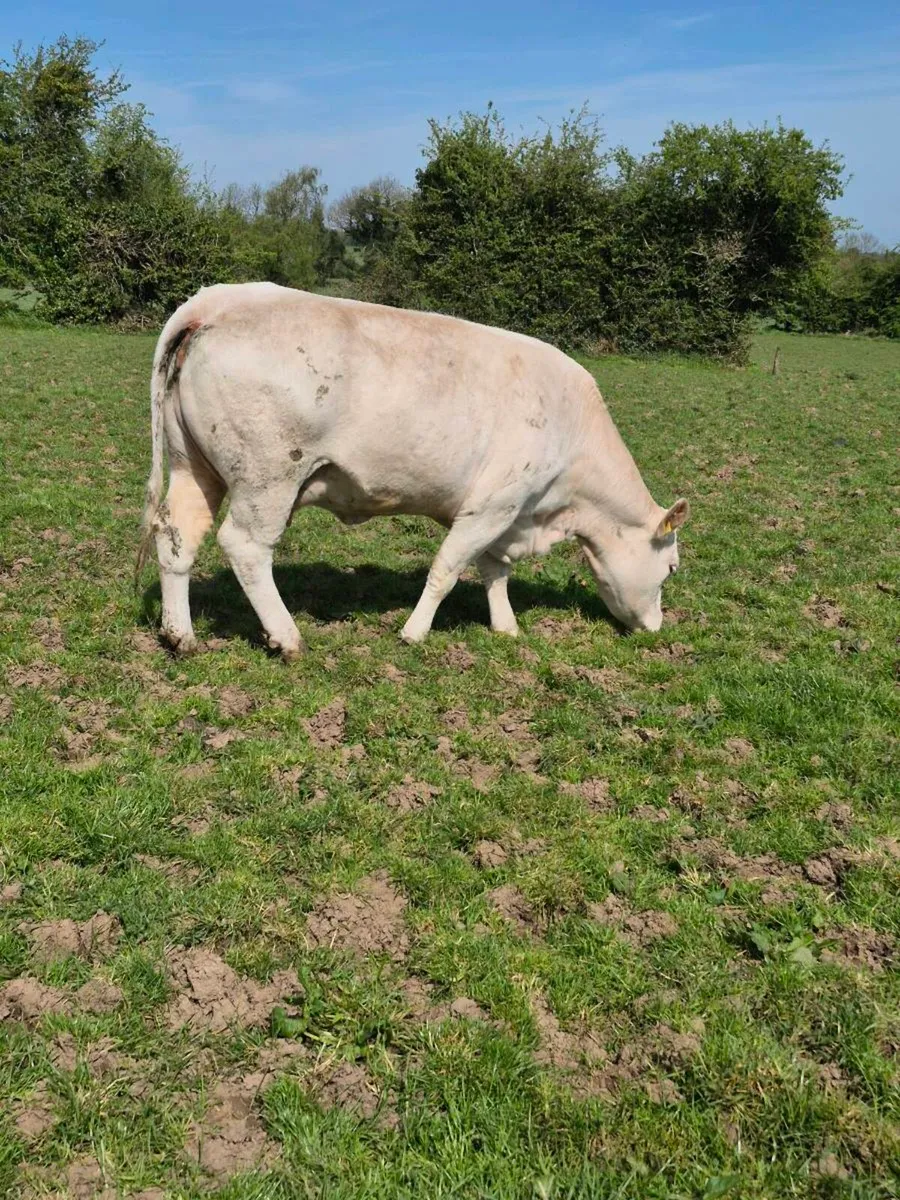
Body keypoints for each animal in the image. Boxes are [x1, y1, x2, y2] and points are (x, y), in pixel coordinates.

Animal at [137, 283, 688, 659]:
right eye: (671, 568)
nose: (655, 628)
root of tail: (219, 301)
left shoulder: (503, 513)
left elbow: (495, 571)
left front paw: (506, 627)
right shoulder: (495, 504)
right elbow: (447, 570)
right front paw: (414, 632)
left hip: (194, 468)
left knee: (177, 534)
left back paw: (181, 635)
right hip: (267, 478)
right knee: (246, 547)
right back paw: (288, 637)